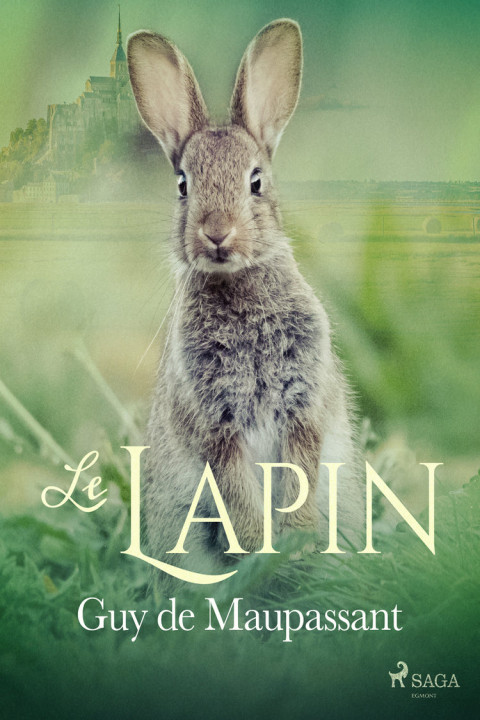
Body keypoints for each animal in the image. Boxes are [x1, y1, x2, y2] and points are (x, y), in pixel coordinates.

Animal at [127, 19, 363, 583]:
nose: (217, 234)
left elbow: (300, 474)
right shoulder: (216, 426)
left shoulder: (303, 407)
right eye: (182, 186)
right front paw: (261, 548)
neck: (239, 287)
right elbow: (235, 491)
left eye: (255, 182)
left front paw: (295, 541)